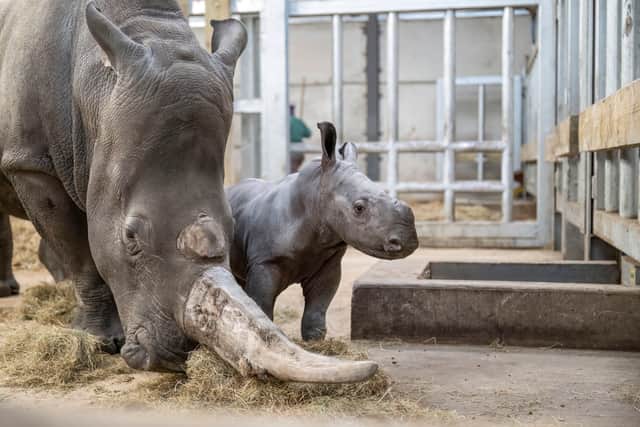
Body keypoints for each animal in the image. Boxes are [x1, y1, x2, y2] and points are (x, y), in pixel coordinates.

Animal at [0, 0, 376, 383]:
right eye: (131, 237)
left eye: (233, 226)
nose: (174, 355)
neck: (94, 92)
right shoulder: (31, 162)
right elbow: (80, 252)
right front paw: (102, 341)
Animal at [227, 122, 419, 340]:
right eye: (359, 208)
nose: (408, 242)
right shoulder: (266, 262)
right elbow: (262, 306)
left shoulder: (329, 263)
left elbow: (316, 311)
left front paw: (315, 342)